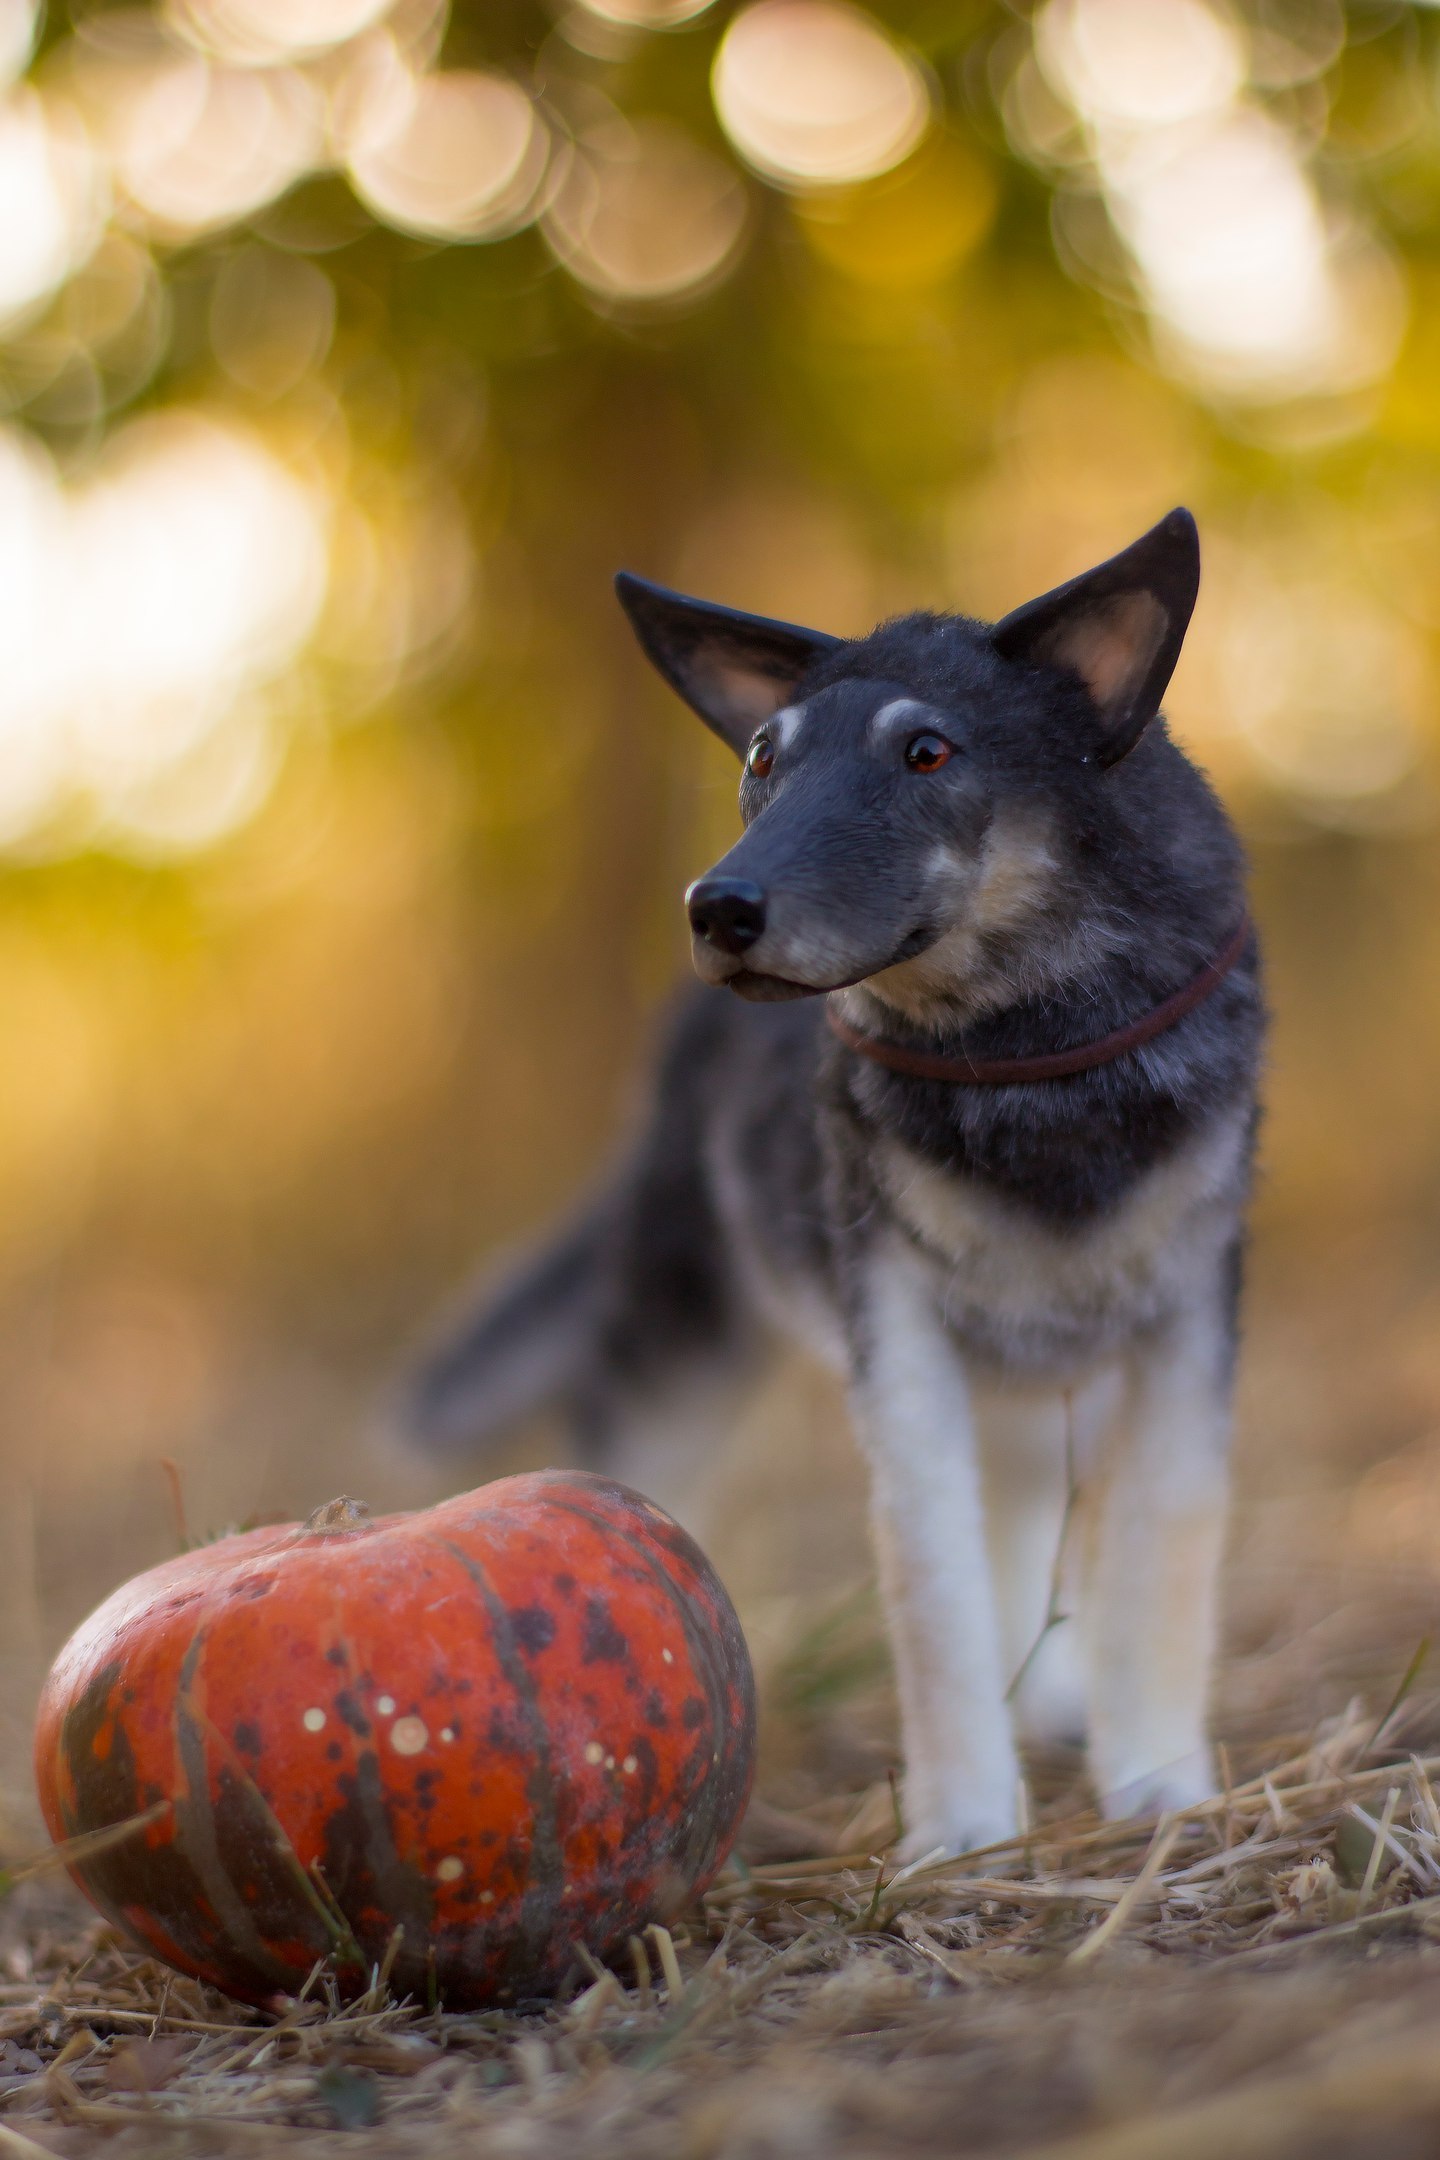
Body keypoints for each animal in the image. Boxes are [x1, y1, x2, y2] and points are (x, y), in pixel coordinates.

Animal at [403, 509, 1260, 1857]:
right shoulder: (899, 1338)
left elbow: (1160, 1552)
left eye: (927, 750)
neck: (1031, 1056)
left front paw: (1159, 1781)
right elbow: (935, 1589)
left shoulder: (1186, 1327)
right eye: (764, 754)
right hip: (684, 1334)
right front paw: (964, 1823)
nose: (715, 907)